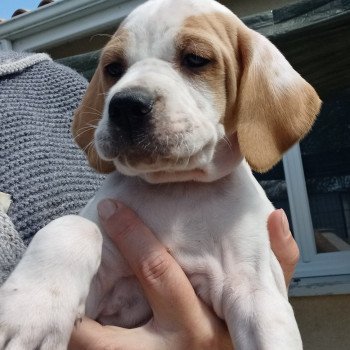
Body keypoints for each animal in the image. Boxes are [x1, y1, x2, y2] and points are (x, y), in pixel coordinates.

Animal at [0, 0, 320, 348]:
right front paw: (29, 311)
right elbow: (74, 225)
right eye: (114, 68)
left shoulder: (256, 294)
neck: (178, 188)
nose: (126, 106)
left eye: (195, 59)